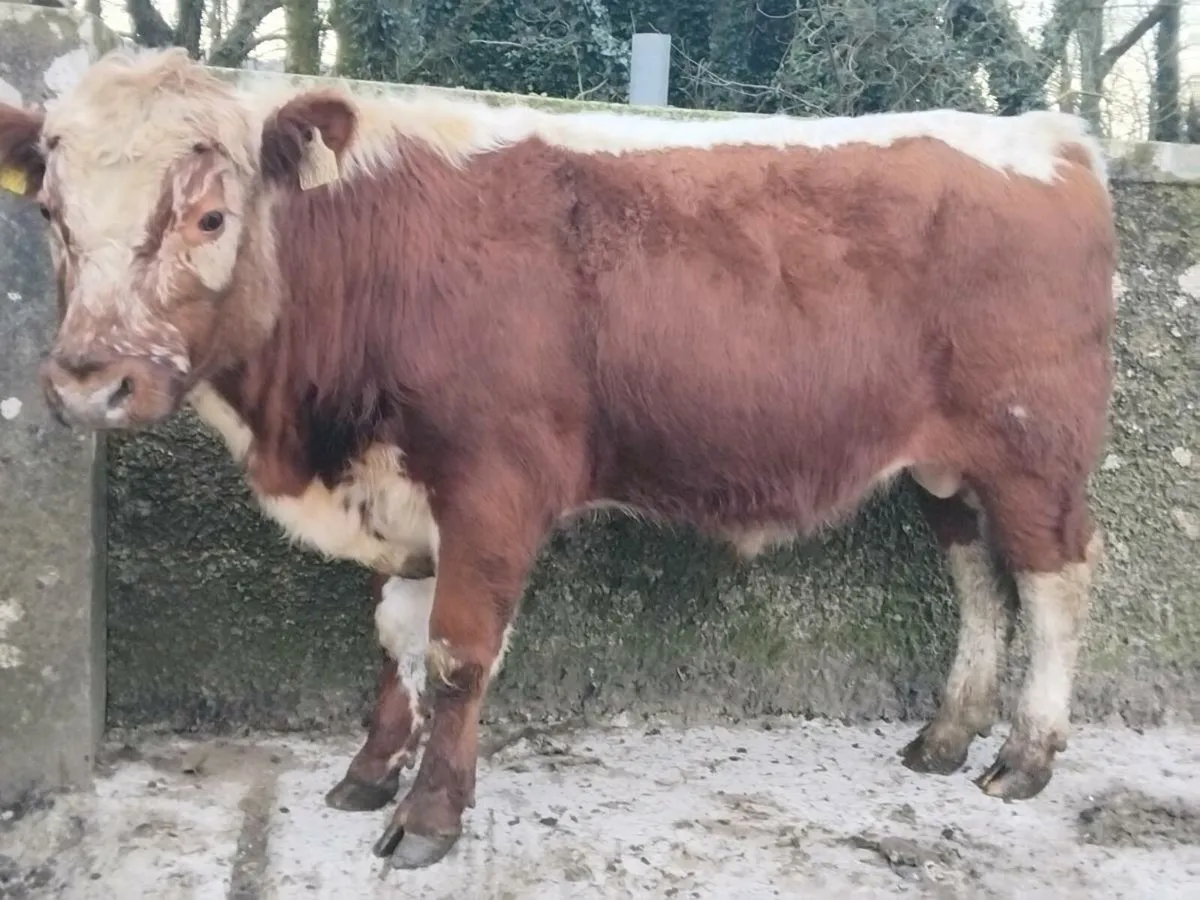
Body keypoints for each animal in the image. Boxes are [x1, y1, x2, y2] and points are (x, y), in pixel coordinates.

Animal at [0, 47, 1115, 870]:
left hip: (1033, 448)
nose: (88, 384)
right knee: (977, 579)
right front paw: (368, 773)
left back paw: (1024, 756)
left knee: (1053, 582)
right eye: (51, 213)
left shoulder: (495, 482)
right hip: (945, 468)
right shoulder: (403, 496)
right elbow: (394, 640)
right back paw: (945, 736)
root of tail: (1047, 137)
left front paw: (429, 820)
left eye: (209, 215)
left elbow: (456, 653)